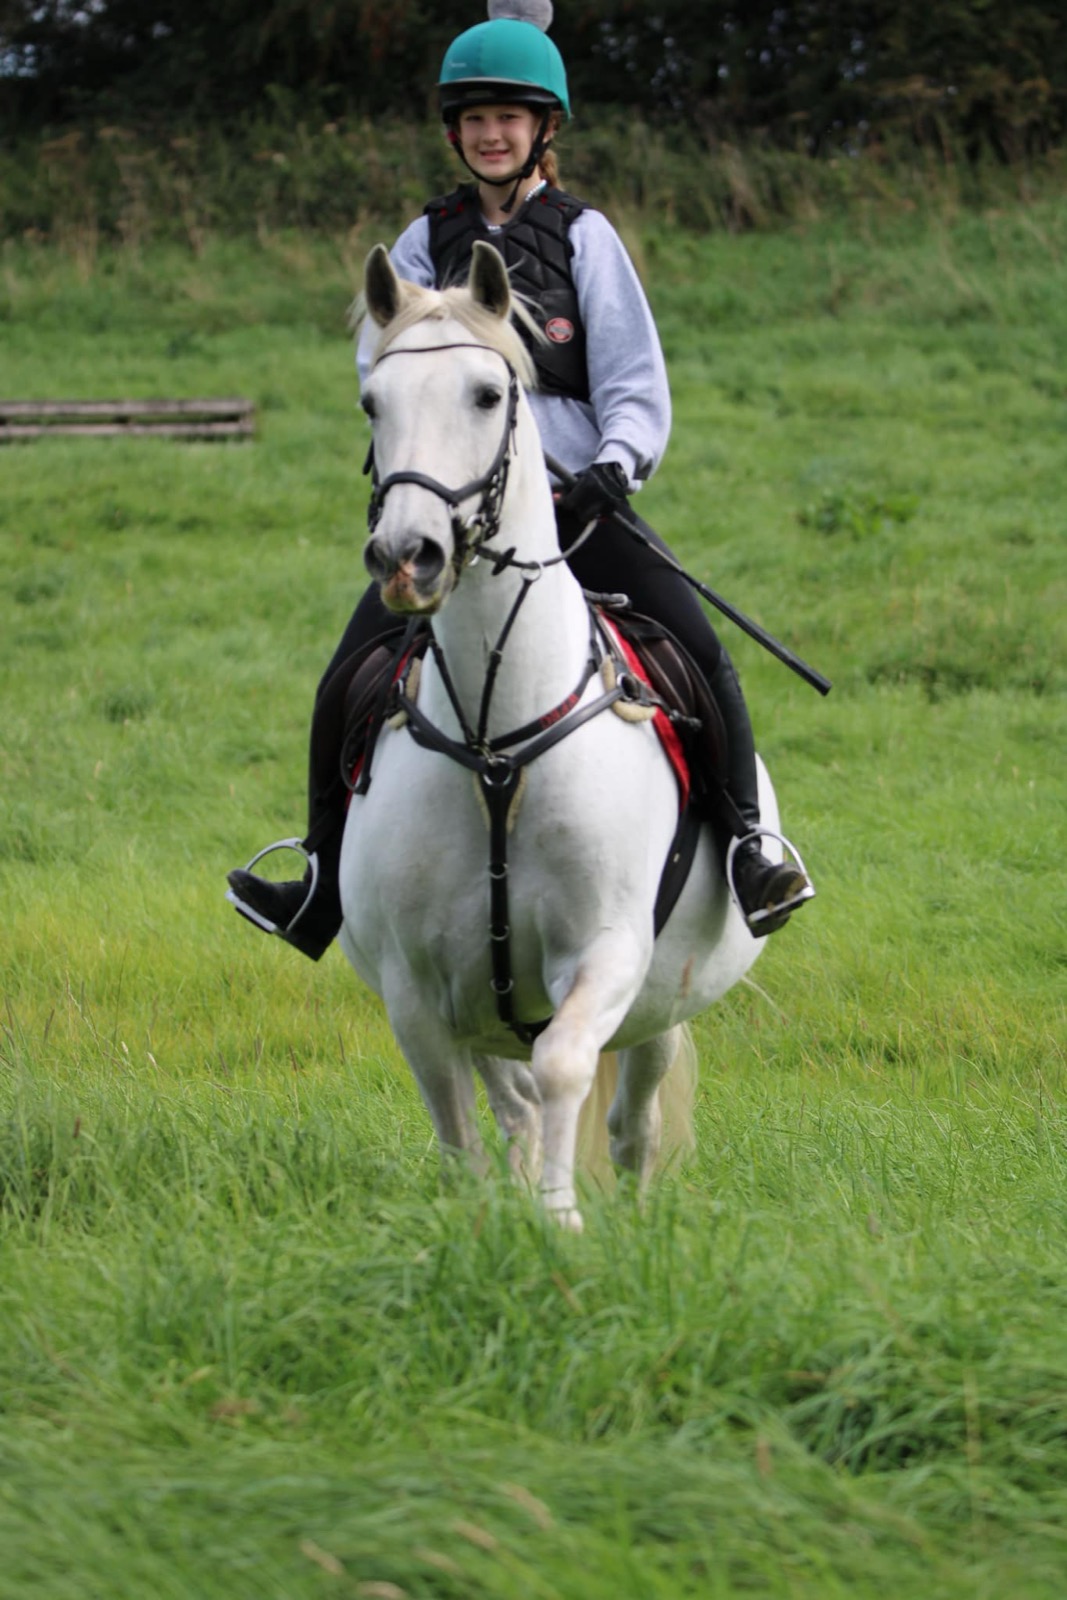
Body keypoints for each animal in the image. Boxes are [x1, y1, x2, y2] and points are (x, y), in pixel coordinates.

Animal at [338, 241, 783, 1231]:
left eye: (485, 395)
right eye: (372, 402)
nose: (407, 557)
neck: (497, 743)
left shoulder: (609, 955)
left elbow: (567, 1070)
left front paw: (560, 1221)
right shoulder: (415, 991)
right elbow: (460, 1121)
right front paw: (492, 1220)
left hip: (660, 1004)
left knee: (628, 1121)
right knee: (511, 1100)